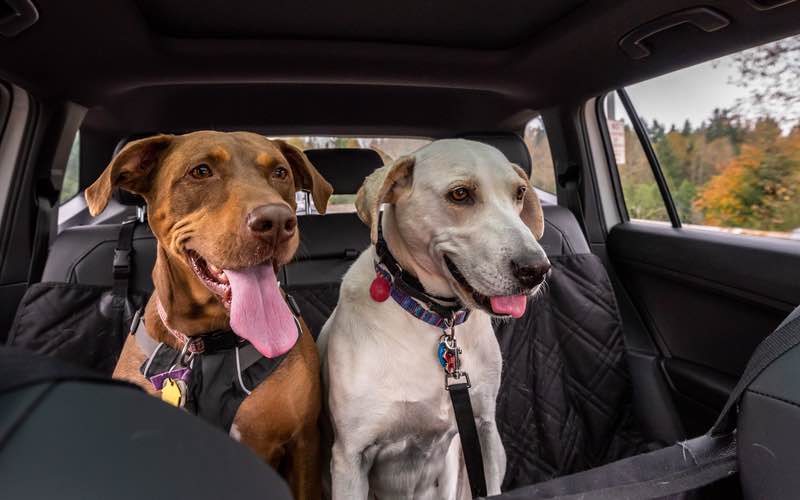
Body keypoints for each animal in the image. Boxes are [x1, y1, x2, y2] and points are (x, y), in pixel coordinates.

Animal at [318, 139, 552, 498]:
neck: (433, 317)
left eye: (520, 193)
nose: (537, 269)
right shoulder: (350, 457)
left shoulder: (475, 433)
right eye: (460, 194)